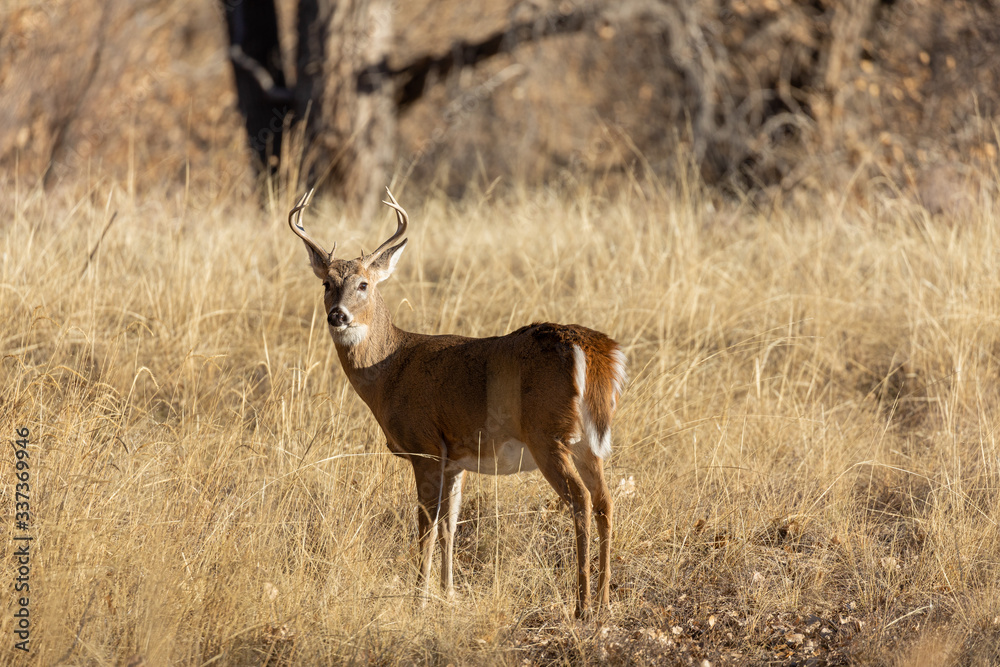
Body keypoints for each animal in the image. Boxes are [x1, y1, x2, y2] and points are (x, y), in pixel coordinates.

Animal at [287, 188, 627, 618]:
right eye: (327, 283)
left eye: (363, 284)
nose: (338, 315)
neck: (391, 367)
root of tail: (597, 350)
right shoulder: (457, 456)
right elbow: (451, 524)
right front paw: (448, 593)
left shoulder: (426, 446)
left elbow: (426, 524)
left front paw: (419, 599)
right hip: (587, 442)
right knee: (605, 501)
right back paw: (604, 600)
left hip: (547, 435)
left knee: (580, 500)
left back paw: (582, 605)